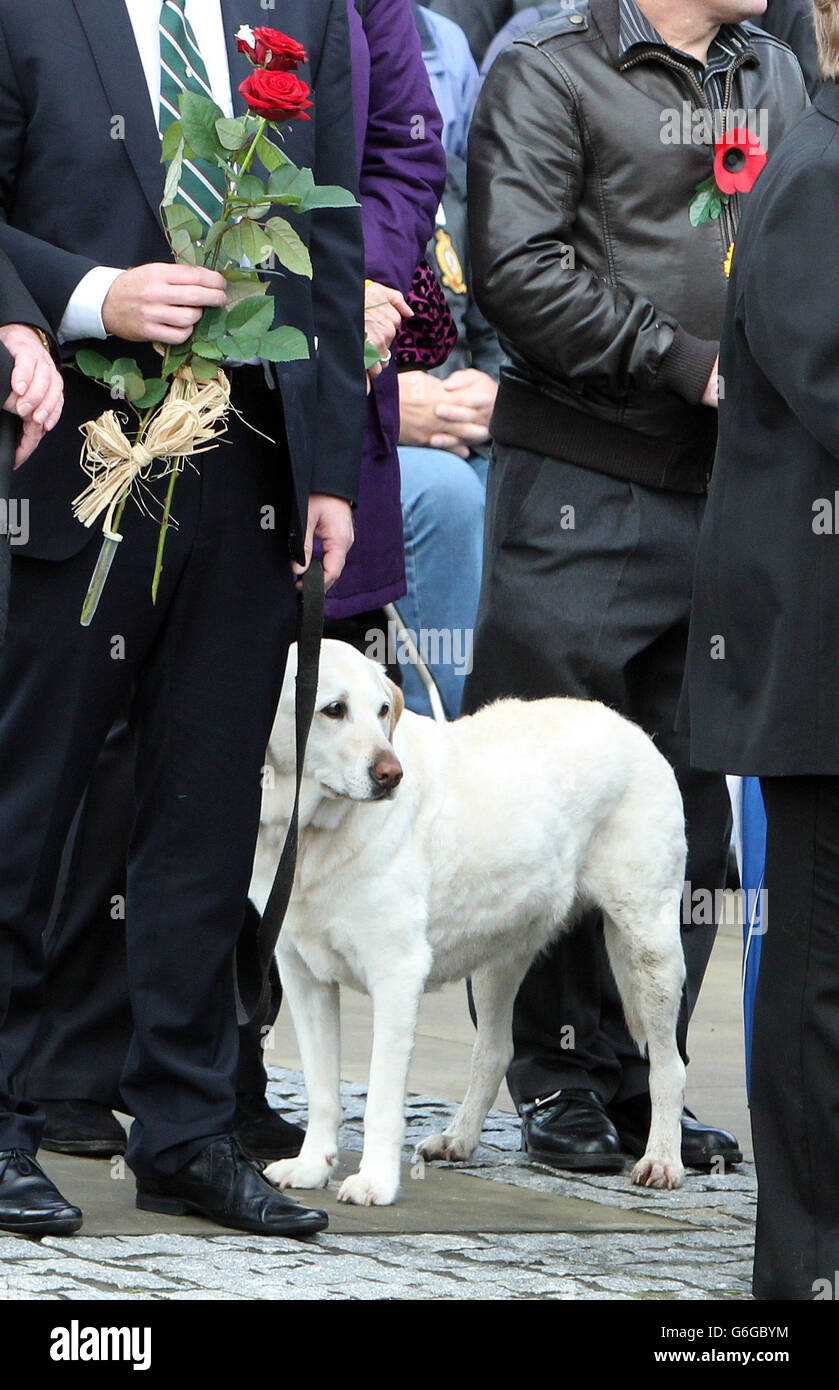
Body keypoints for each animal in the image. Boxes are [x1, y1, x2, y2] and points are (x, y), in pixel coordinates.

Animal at [254, 639, 688, 1206]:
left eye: (382, 710)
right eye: (333, 710)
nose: (391, 775)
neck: (312, 834)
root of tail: (631, 728)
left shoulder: (397, 975)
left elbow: (381, 1101)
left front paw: (374, 1182)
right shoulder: (302, 976)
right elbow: (322, 1090)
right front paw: (310, 1168)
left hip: (647, 945)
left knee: (668, 1066)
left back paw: (662, 1160)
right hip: (497, 958)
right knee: (495, 1050)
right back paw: (458, 1139)